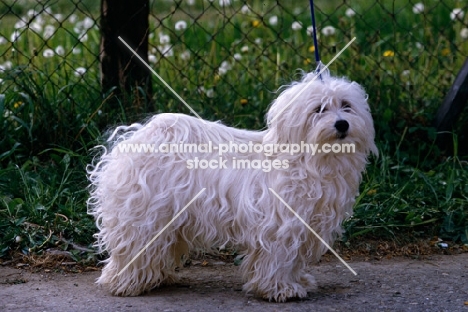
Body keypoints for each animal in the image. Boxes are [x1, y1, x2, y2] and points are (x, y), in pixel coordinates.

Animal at [88, 71, 378, 302]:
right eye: (319, 109)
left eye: (346, 105)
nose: (342, 124)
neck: (309, 160)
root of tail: (138, 137)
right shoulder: (281, 228)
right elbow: (279, 259)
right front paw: (280, 289)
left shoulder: (304, 226)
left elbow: (293, 261)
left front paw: (298, 282)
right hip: (143, 217)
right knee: (132, 249)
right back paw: (123, 283)